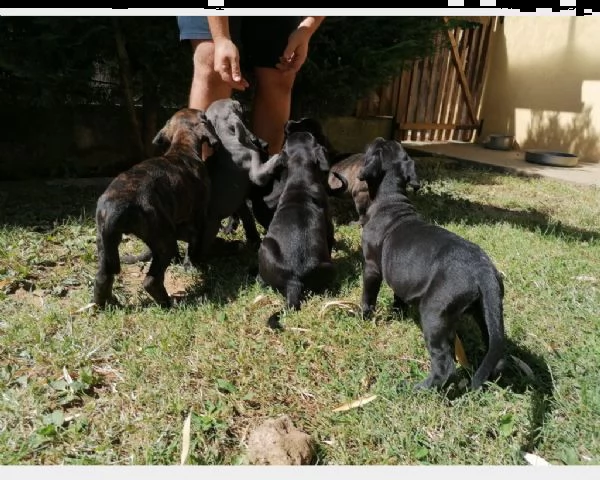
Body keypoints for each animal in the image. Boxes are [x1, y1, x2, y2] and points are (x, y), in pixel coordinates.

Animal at [356, 137, 506, 392]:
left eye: (376, 148)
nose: (379, 138)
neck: (391, 199)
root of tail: (484, 271)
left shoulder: (372, 267)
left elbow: (368, 297)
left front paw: (362, 316)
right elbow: (398, 296)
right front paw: (396, 313)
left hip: (434, 315)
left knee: (445, 365)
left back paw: (417, 388)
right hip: (485, 312)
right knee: (495, 352)